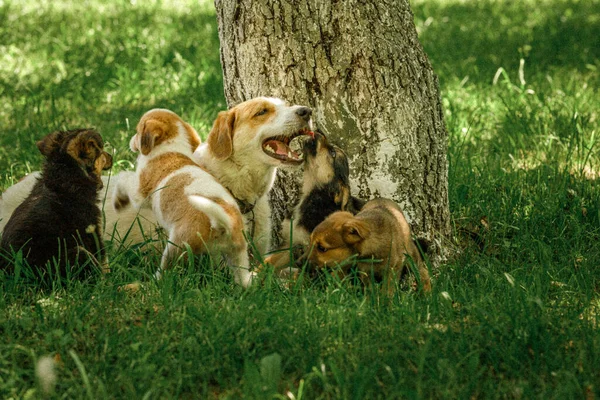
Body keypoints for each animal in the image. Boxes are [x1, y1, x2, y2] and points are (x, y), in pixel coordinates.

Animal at [0, 128, 113, 278]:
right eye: (101, 152)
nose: (111, 156)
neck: (62, 179)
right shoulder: (92, 230)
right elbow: (102, 259)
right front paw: (108, 278)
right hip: (76, 254)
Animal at [113, 108, 255, 286]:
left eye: (138, 131)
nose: (131, 141)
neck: (172, 147)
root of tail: (225, 223)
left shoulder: (139, 193)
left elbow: (123, 177)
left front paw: (119, 201)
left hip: (176, 248)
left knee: (165, 272)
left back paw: (150, 283)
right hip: (238, 255)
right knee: (243, 279)